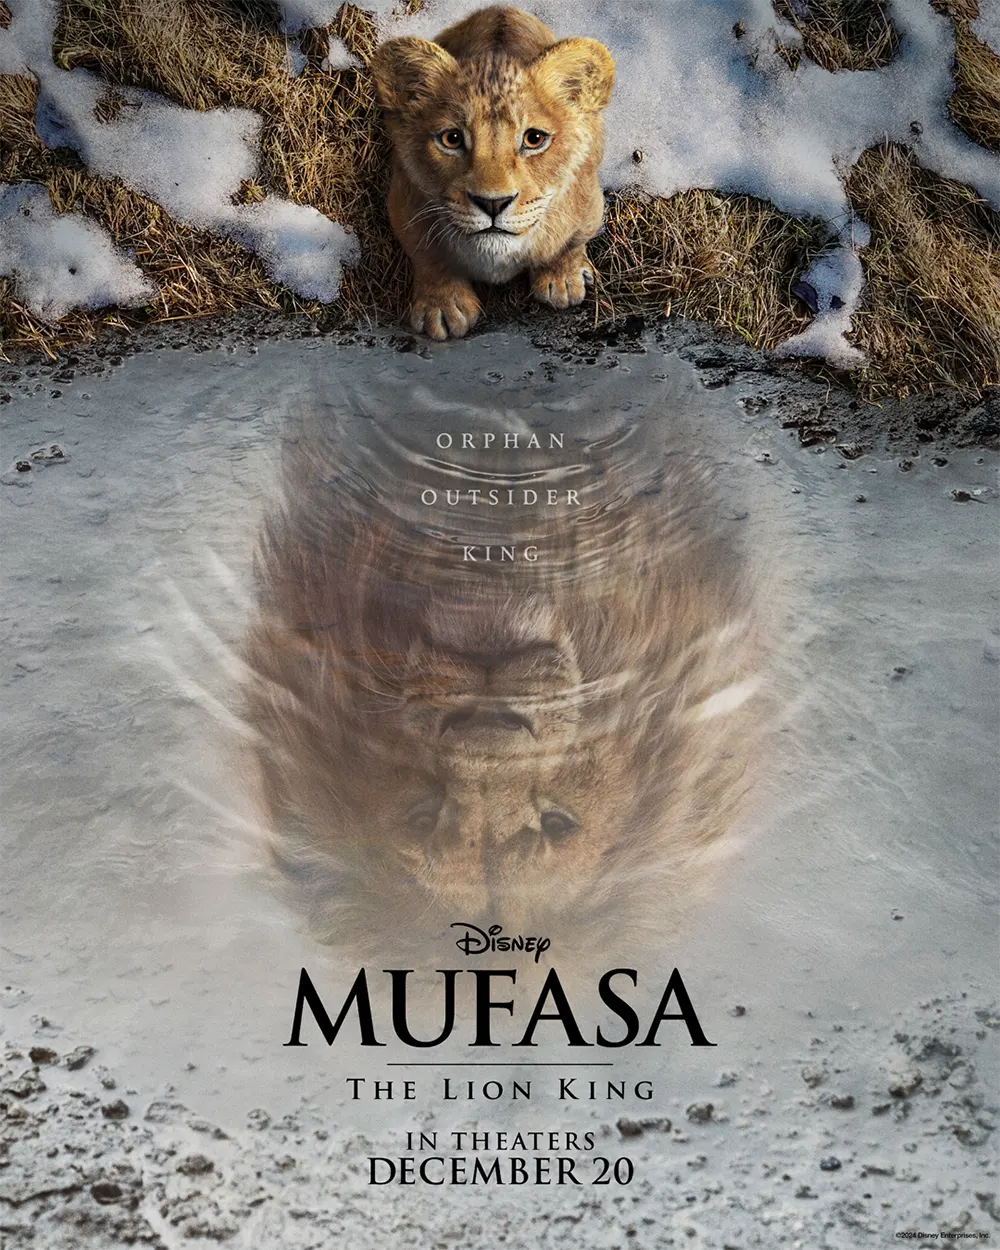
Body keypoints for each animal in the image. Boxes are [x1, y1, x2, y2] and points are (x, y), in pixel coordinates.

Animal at [370, 6, 615, 340]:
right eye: (452, 139)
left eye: (534, 139)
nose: (493, 203)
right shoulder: (403, 202)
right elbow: (428, 256)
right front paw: (442, 306)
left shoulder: (589, 202)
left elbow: (570, 243)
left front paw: (563, 279)